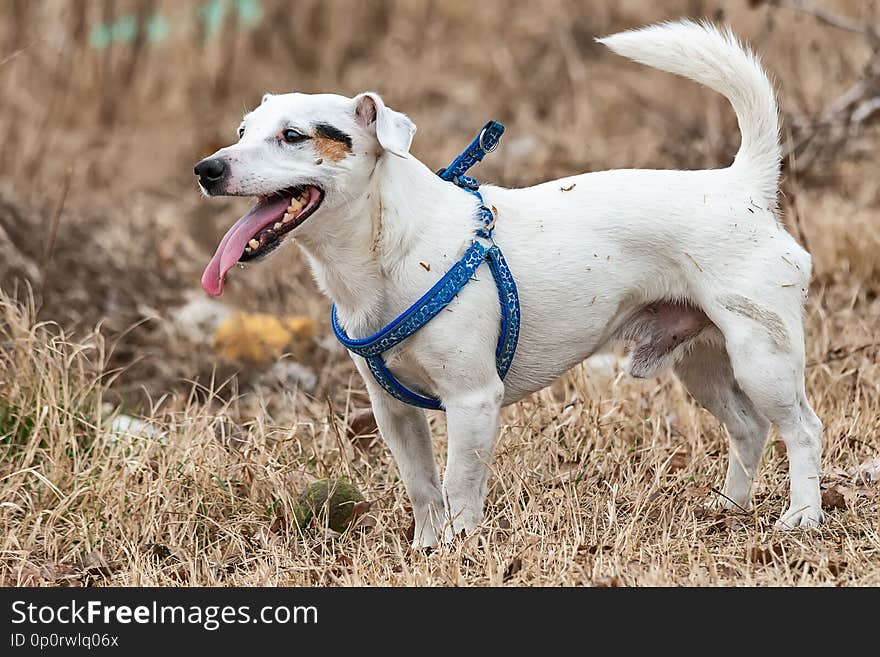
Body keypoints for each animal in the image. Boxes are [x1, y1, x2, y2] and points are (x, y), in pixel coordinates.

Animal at [194, 20, 824, 544]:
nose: (207, 169)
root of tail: (740, 185)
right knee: (748, 428)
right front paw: (427, 550)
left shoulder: (473, 400)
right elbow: (423, 490)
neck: (384, 251)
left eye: (294, 136)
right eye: (242, 131)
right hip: (701, 361)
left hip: (762, 357)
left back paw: (802, 516)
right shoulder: (392, 412)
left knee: (803, 429)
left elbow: (458, 487)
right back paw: (729, 507)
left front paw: (461, 551)